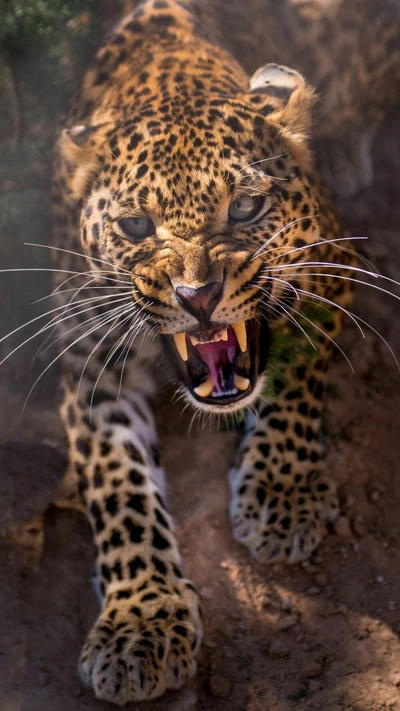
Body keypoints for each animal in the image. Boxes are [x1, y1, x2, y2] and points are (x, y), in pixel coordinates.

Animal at [47, 0, 400, 704]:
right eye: (135, 226)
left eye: (245, 208)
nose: (199, 295)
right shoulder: (86, 357)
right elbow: (116, 482)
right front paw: (141, 621)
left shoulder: (331, 271)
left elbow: (294, 379)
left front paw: (282, 495)